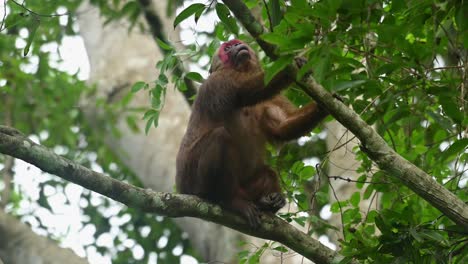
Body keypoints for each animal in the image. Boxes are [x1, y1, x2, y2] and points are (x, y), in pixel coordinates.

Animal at [176, 38, 330, 227]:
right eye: (227, 48)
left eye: (235, 43)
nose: (235, 46)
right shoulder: (217, 81)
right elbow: (246, 91)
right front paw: (297, 63)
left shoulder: (273, 99)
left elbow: (282, 126)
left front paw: (323, 107)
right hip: (192, 181)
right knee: (219, 137)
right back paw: (225, 200)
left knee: (267, 172)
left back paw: (267, 202)